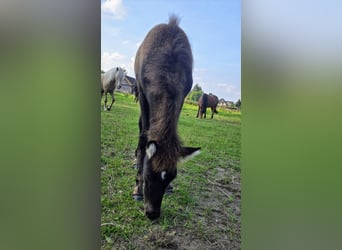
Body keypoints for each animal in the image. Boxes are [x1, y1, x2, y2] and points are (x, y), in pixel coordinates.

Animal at [132, 14, 200, 220]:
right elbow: (143, 138)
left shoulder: (182, 97)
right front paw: (137, 188)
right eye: (148, 176)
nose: (152, 214)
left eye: (171, 176)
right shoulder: (143, 95)